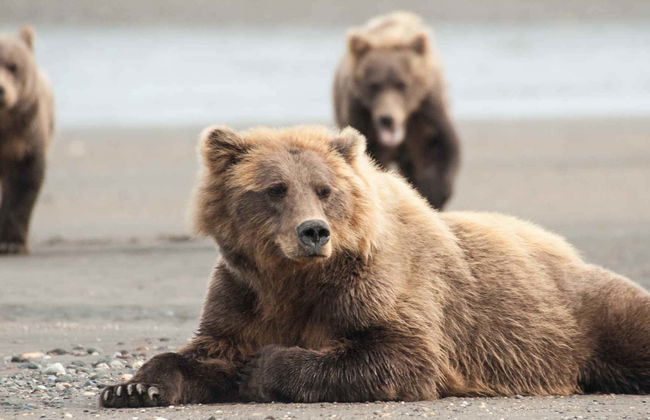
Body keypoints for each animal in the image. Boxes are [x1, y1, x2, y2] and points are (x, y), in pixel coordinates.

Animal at [100, 124, 649, 408]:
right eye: (276, 188)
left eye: (325, 189)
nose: (313, 231)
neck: (295, 280)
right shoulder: (244, 294)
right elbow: (208, 350)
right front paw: (132, 386)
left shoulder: (382, 286)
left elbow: (397, 355)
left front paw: (264, 367)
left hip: (583, 315)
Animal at [334, 11, 460, 210]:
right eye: (374, 85)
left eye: (402, 84)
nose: (387, 119)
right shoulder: (362, 120)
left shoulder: (427, 112)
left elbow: (440, 149)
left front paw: (432, 193)